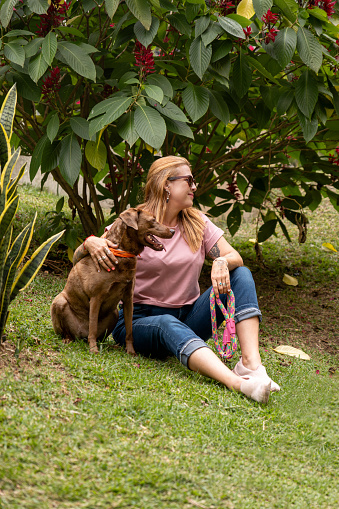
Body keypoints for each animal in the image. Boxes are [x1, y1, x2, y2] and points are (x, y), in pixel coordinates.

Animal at [50, 206, 175, 354]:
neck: (123, 252)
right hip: (59, 301)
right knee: (73, 332)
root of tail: (81, 336)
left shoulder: (128, 298)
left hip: (114, 313)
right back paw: (69, 339)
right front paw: (93, 350)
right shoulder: (96, 297)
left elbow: (129, 331)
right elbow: (93, 327)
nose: (173, 231)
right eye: (153, 220)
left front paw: (131, 352)